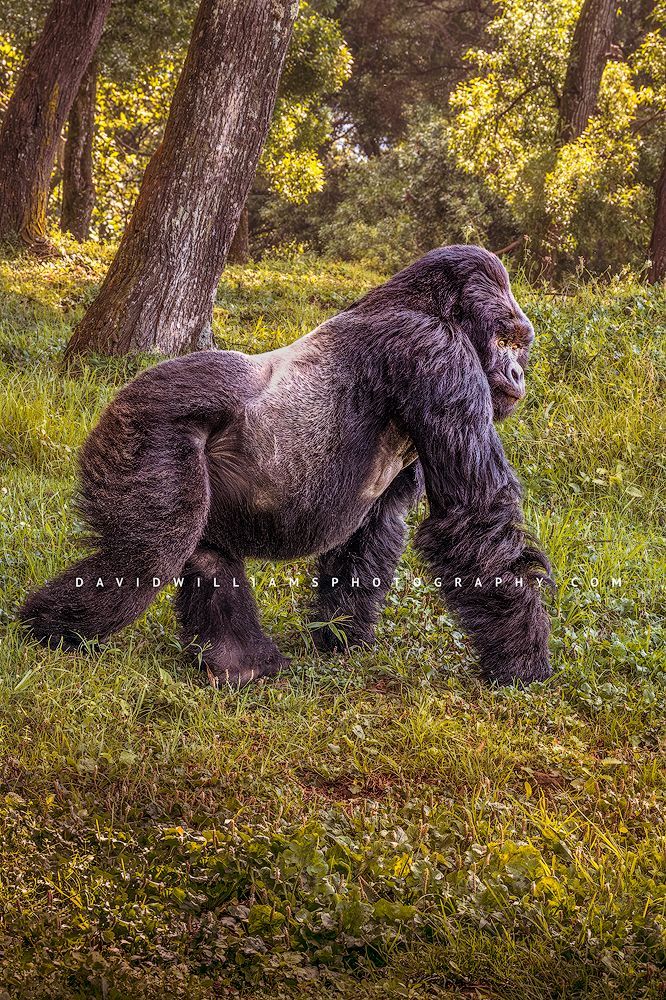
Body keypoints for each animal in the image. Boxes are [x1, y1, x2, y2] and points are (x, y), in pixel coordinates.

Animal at [18, 245, 552, 687]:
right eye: (505, 339)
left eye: (518, 343)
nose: (517, 372)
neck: (427, 304)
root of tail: (119, 394)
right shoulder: (436, 353)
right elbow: (474, 515)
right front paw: (523, 659)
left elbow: (376, 528)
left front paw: (342, 637)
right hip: (144, 425)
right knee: (148, 554)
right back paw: (49, 629)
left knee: (203, 551)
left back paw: (241, 663)